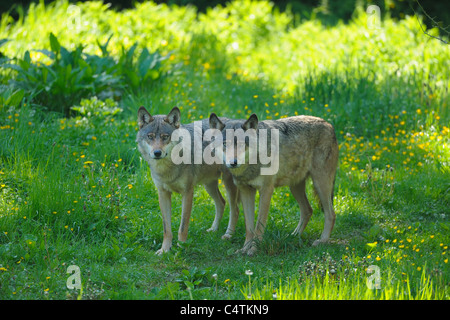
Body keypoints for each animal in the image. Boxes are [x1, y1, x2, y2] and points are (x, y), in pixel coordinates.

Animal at [136, 107, 239, 255]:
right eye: (150, 136)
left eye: (165, 137)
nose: (157, 153)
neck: (167, 168)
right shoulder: (163, 194)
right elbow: (166, 229)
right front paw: (165, 250)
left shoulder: (188, 192)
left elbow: (183, 227)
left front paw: (181, 249)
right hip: (209, 185)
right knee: (221, 203)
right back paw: (213, 230)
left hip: (228, 184)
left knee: (235, 209)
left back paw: (228, 235)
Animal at [209, 112, 340, 255]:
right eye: (225, 144)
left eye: (243, 144)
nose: (233, 162)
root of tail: (328, 123)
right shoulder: (246, 191)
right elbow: (249, 227)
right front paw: (244, 248)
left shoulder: (266, 190)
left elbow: (259, 225)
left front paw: (254, 249)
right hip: (295, 187)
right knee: (308, 210)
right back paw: (294, 236)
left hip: (320, 184)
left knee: (331, 214)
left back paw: (322, 241)